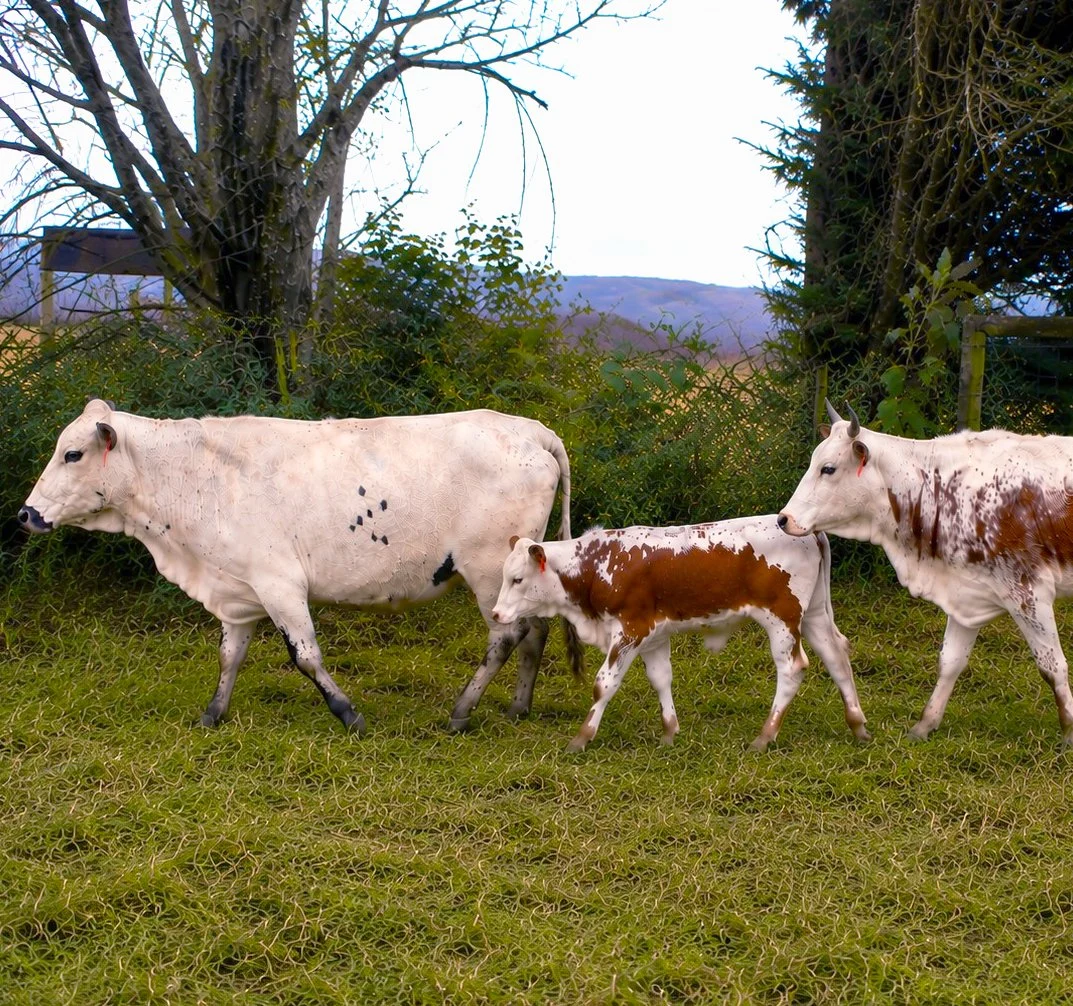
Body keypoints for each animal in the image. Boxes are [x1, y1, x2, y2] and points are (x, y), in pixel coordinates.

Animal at [18, 399, 583, 734]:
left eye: (72, 454)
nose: (26, 514)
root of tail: (530, 429)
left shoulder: (280, 585)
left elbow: (305, 656)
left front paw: (348, 713)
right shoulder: (239, 591)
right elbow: (229, 656)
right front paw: (213, 714)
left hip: (488, 571)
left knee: (505, 638)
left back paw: (462, 712)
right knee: (533, 634)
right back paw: (519, 707)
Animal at [491, 517, 870, 751]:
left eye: (518, 579)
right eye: (506, 576)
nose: (496, 613)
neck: (599, 564)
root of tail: (809, 530)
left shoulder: (630, 630)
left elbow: (604, 684)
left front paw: (581, 738)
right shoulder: (654, 636)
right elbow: (661, 679)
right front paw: (670, 733)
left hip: (782, 618)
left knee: (792, 669)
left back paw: (765, 736)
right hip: (814, 614)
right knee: (836, 657)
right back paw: (857, 725)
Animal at [777, 401, 1073, 745]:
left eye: (828, 468)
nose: (783, 519)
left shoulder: (1029, 592)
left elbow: (1052, 665)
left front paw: (1069, 731)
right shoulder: (966, 590)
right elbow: (950, 662)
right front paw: (925, 724)